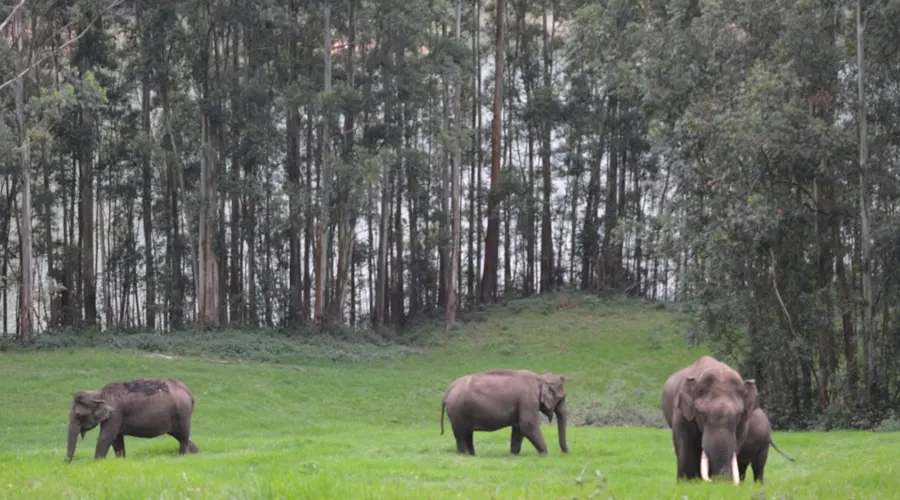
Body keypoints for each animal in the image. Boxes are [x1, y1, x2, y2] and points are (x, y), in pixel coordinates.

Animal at [66, 376, 200, 462]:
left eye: (78, 415)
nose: (67, 464)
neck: (99, 394)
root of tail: (188, 391)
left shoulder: (115, 413)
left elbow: (107, 437)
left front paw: (96, 463)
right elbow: (117, 439)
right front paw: (121, 460)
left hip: (182, 412)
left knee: (183, 436)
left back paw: (182, 456)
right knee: (180, 435)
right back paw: (195, 453)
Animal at [438, 368, 568, 458]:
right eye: (562, 398)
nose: (566, 453)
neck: (539, 377)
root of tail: (449, 389)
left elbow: (518, 428)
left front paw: (514, 455)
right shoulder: (527, 399)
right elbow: (528, 425)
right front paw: (545, 454)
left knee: (468, 433)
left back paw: (472, 455)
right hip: (457, 411)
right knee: (461, 434)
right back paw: (463, 455)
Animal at [660, 356, 760, 484]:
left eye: (738, 414)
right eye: (701, 413)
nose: (719, 481)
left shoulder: (743, 424)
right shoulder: (681, 412)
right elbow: (683, 442)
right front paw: (686, 483)